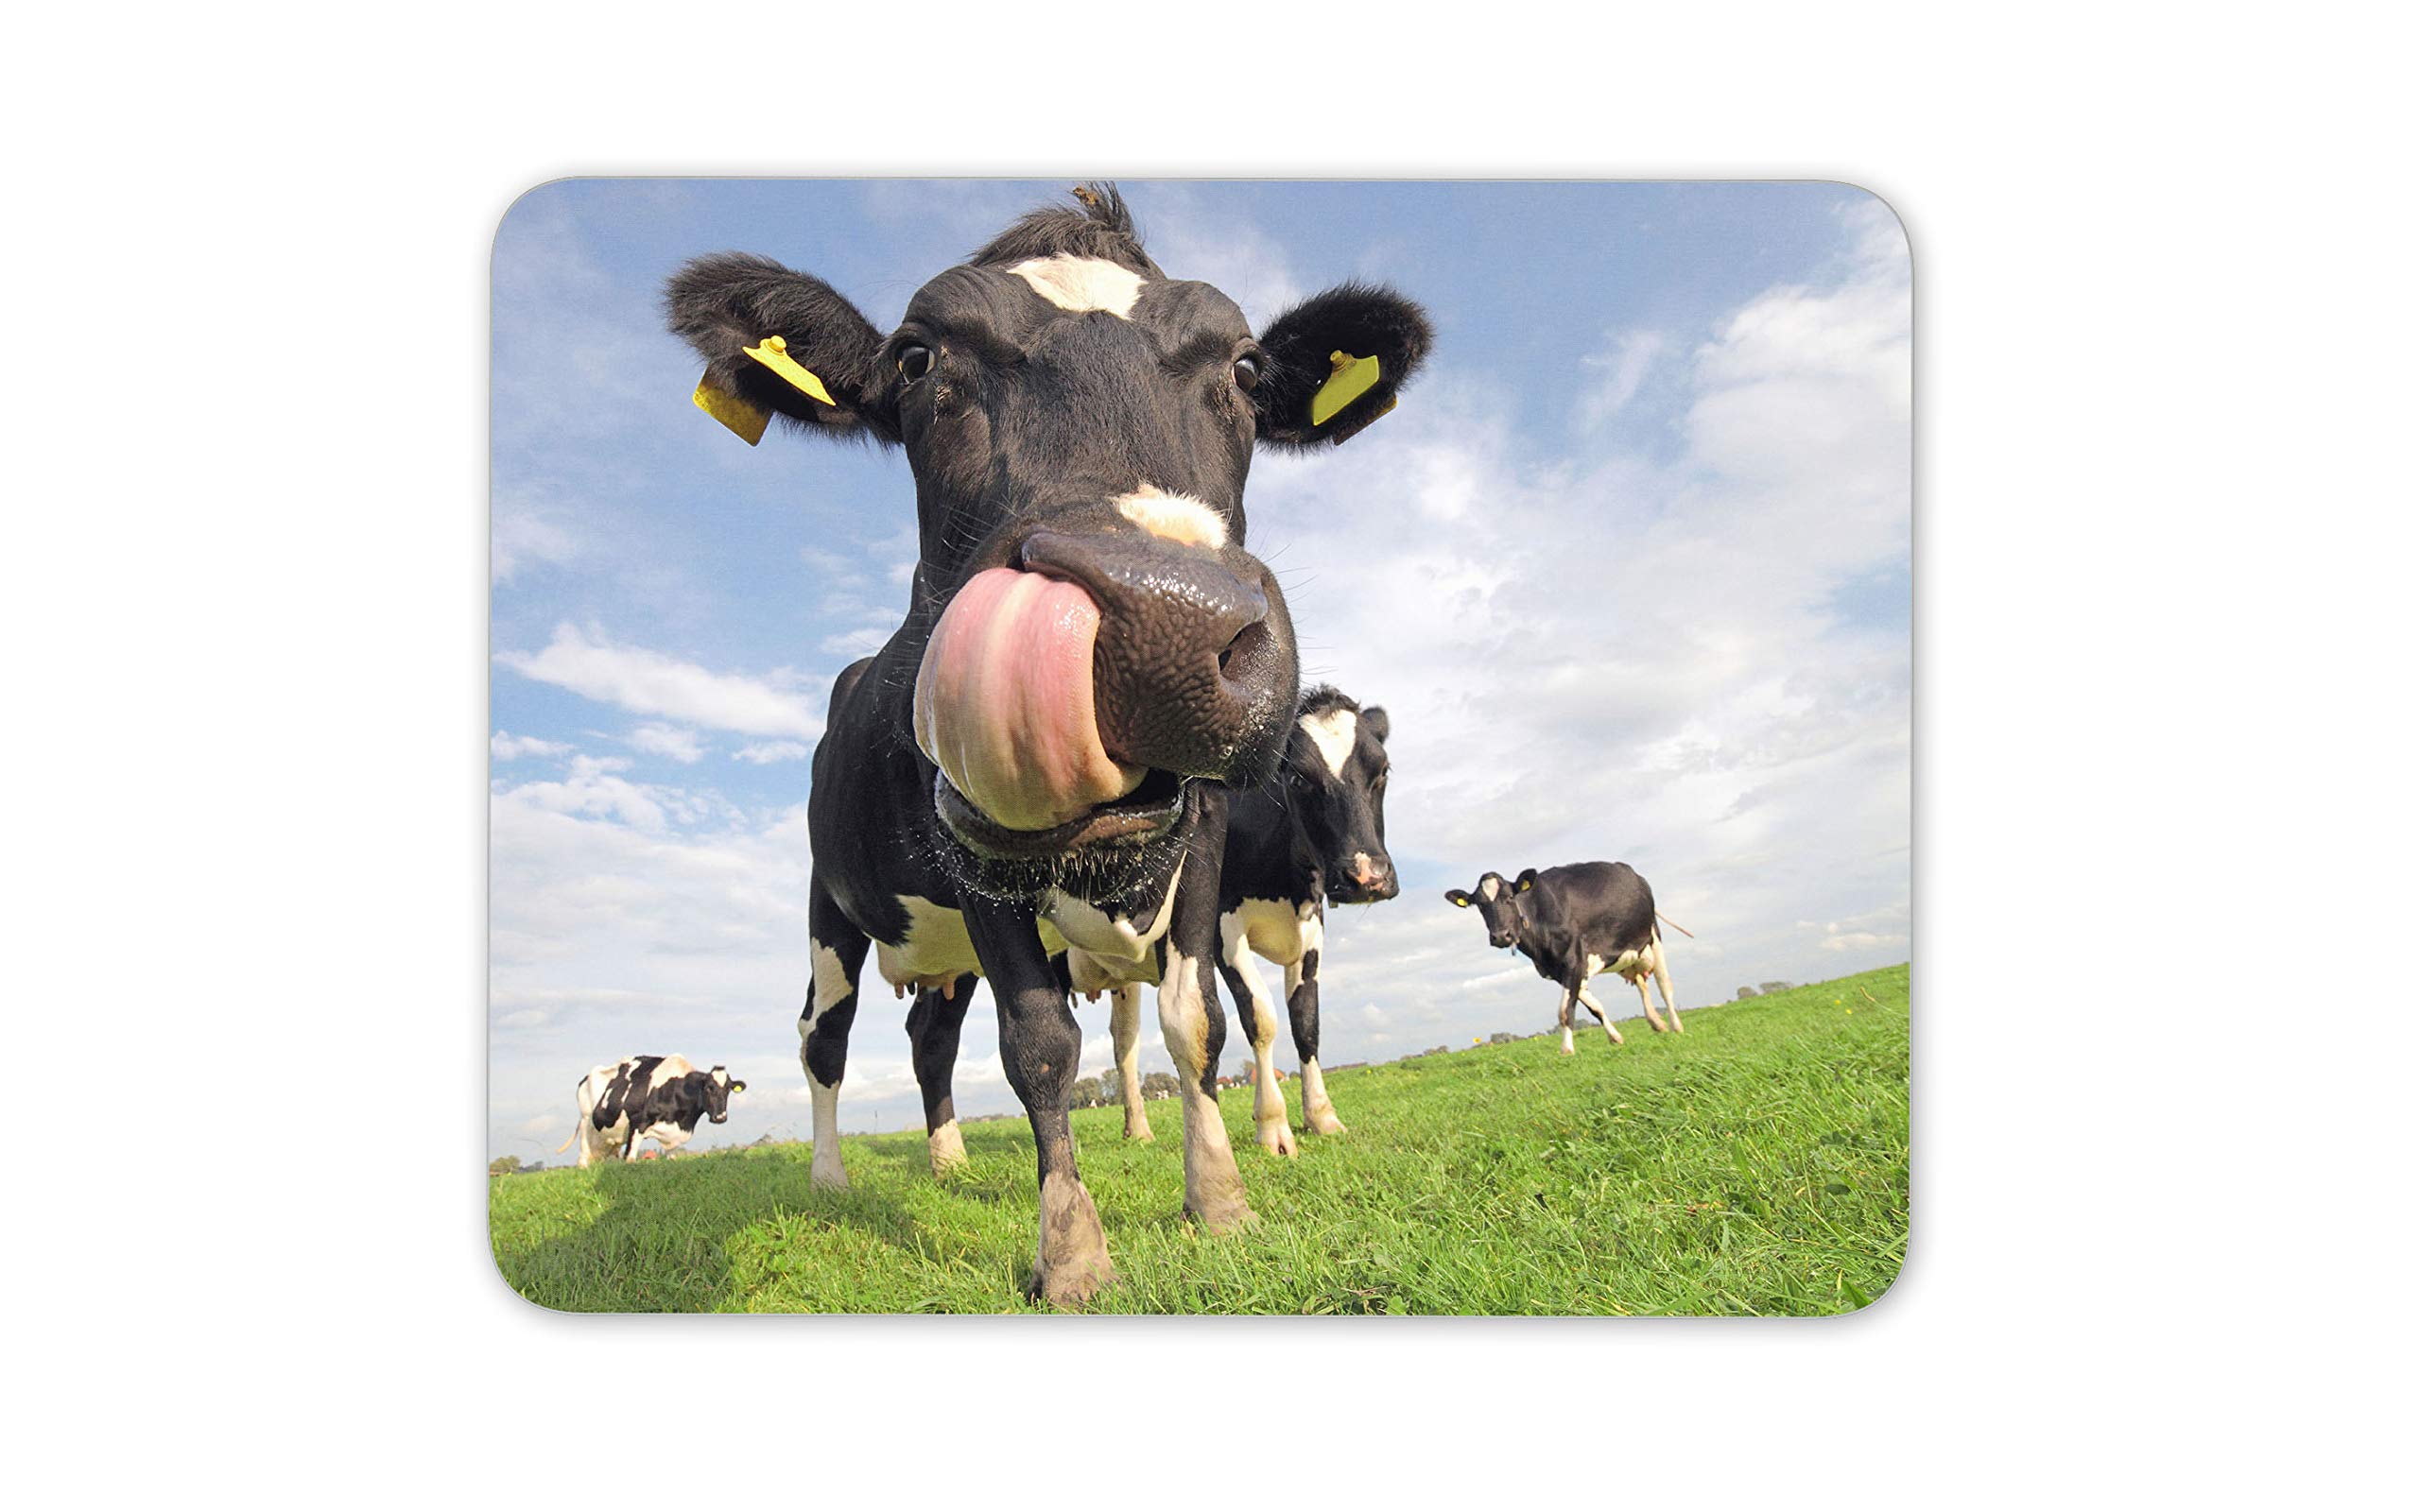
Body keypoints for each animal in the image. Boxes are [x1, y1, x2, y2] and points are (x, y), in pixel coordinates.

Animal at [556, 1055, 745, 1168]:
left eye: (728, 1090)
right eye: (708, 1088)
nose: (720, 1117)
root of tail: (585, 1078)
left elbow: (672, 1158)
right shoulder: (637, 1122)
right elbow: (630, 1158)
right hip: (586, 1121)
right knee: (583, 1156)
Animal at [1107, 684, 1395, 1155]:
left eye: (1383, 770)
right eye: (1297, 779)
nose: (1367, 876)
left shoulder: (1311, 931)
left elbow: (1306, 1023)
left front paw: (1321, 1115)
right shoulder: (1221, 932)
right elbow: (1260, 1018)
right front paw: (1273, 1125)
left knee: (1124, 1043)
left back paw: (1137, 1130)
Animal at [1445, 863, 1681, 1052]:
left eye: (1510, 897)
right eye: (1480, 905)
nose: (1501, 936)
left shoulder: (1574, 961)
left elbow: (1565, 1011)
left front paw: (1567, 1049)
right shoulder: (1560, 970)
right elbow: (1594, 1007)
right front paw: (1615, 1037)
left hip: (1653, 935)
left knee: (1665, 985)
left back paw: (1675, 1025)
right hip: (1629, 954)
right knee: (1642, 983)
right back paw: (1656, 1022)